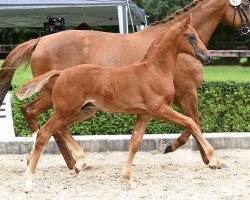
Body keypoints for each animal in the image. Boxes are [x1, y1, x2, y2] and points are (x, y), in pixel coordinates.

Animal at [18, 16, 217, 193]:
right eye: (191, 36)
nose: (207, 57)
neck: (154, 70)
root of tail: (61, 72)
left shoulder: (144, 114)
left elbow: (135, 142)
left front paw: (128, 179)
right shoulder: (160, 109)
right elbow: (191, 122)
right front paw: (214, 160)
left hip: (81, 111)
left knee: (60, 128)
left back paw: (78, 162)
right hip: (65, 110)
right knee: (44, 134)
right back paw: (29, 182)